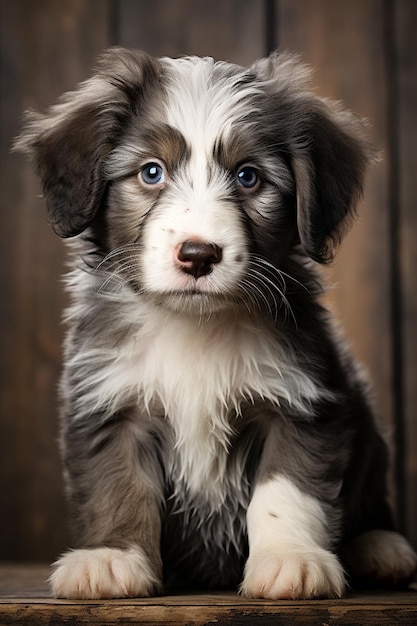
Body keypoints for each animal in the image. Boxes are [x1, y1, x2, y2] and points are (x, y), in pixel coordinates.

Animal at [13, 47, 416, 596]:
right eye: (152, 172)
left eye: (248, 177)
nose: (199, 255)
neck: (195, 326)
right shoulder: (110, 404)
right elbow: (117, 484)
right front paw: (112, 558)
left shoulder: (302, 404)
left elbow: (286, 490)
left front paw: (290, 558)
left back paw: (379, 547)